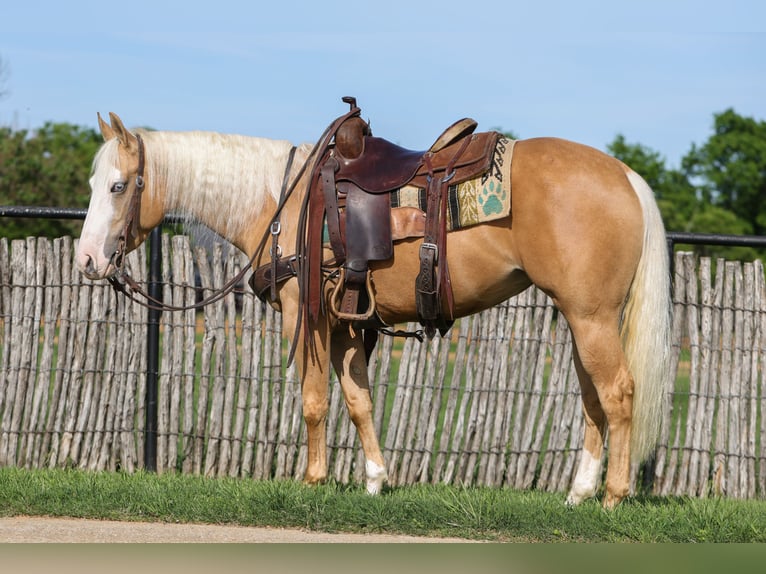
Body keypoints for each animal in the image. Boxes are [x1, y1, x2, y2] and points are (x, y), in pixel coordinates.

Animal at [76, 110, 671, 508]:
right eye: (94, 183)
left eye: (119, 185)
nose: (86, 260)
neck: (282, 204)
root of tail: (623, 175)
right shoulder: (345, 323)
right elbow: (359, 400)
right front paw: (374, 479)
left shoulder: (306, 316)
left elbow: (315, 401)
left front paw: (313, 481)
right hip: (581, 317)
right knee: (593, 397)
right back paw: (579, 493)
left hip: (591, 317)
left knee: (618, 393)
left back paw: (614, 495)